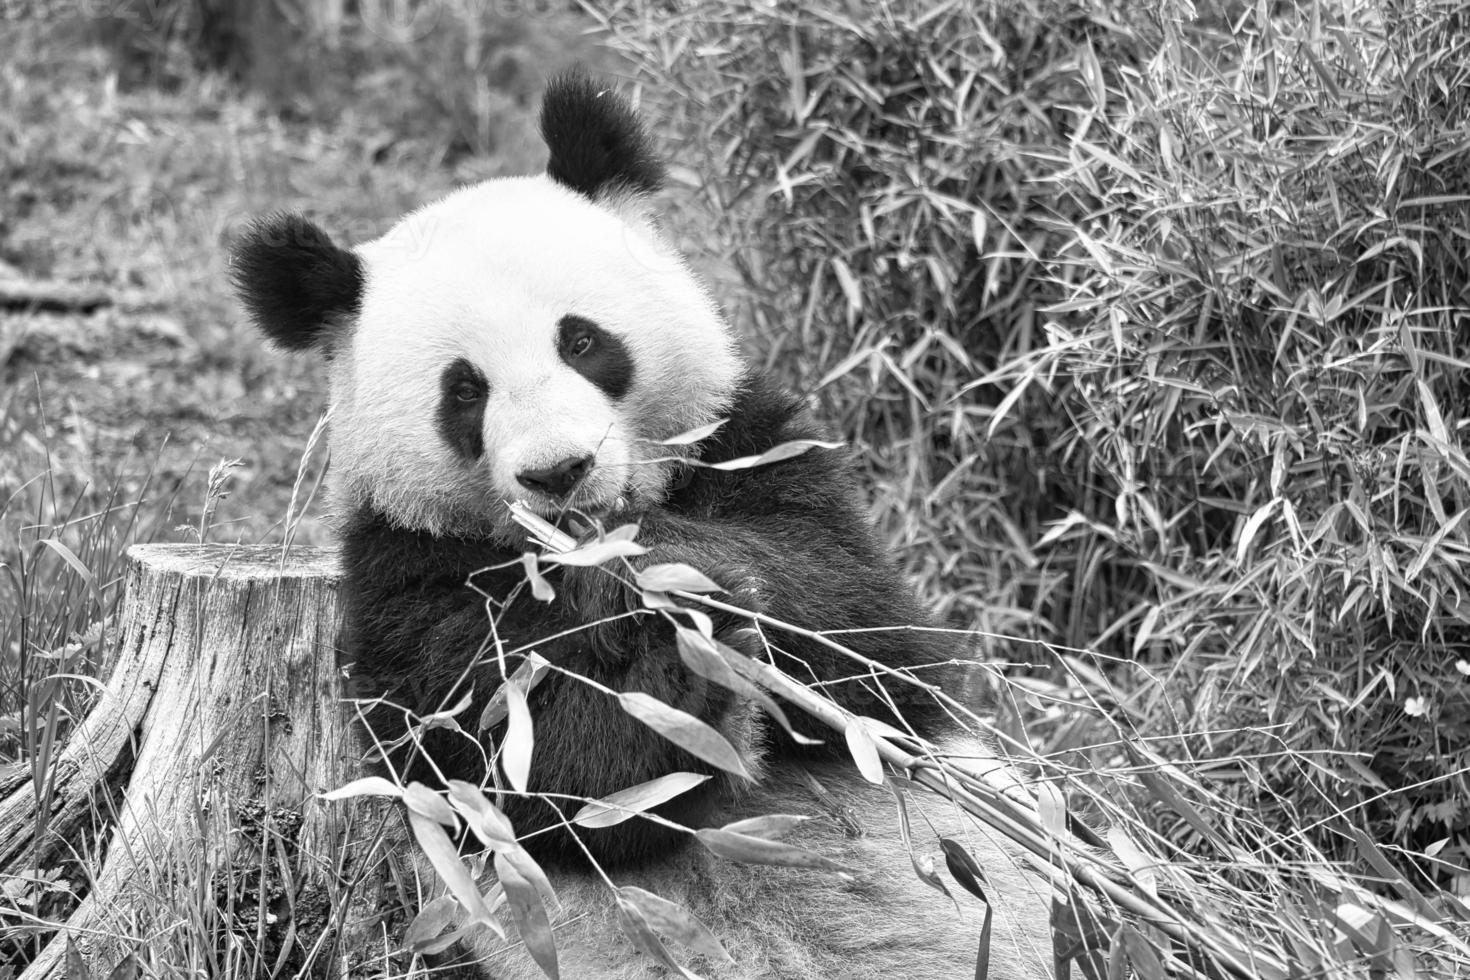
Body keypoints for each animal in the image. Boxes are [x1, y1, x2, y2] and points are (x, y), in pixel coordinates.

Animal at [232, 70, 1046, 980]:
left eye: (583, 341)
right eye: (464, 391)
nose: (559, 472)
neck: (579, 545)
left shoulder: (750, 446)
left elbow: (873, 645)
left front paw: (688, 579)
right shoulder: (408, 571)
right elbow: (534, 773)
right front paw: (664, 647)